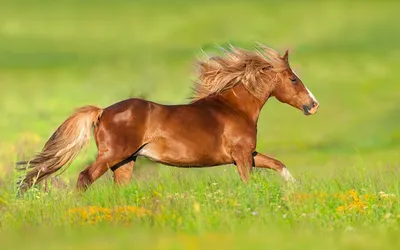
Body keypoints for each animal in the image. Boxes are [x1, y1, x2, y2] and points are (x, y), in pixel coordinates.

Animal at [17, 44, 320, 191]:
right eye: (293, 79)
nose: (313, 105)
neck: (234, 108)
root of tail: (103, 111)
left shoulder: (248, 154)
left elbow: (278, 164)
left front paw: (296, 188)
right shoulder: (242, 155)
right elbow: (249, 181)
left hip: (125, 162)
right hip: (113, 155)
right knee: (84, 178)